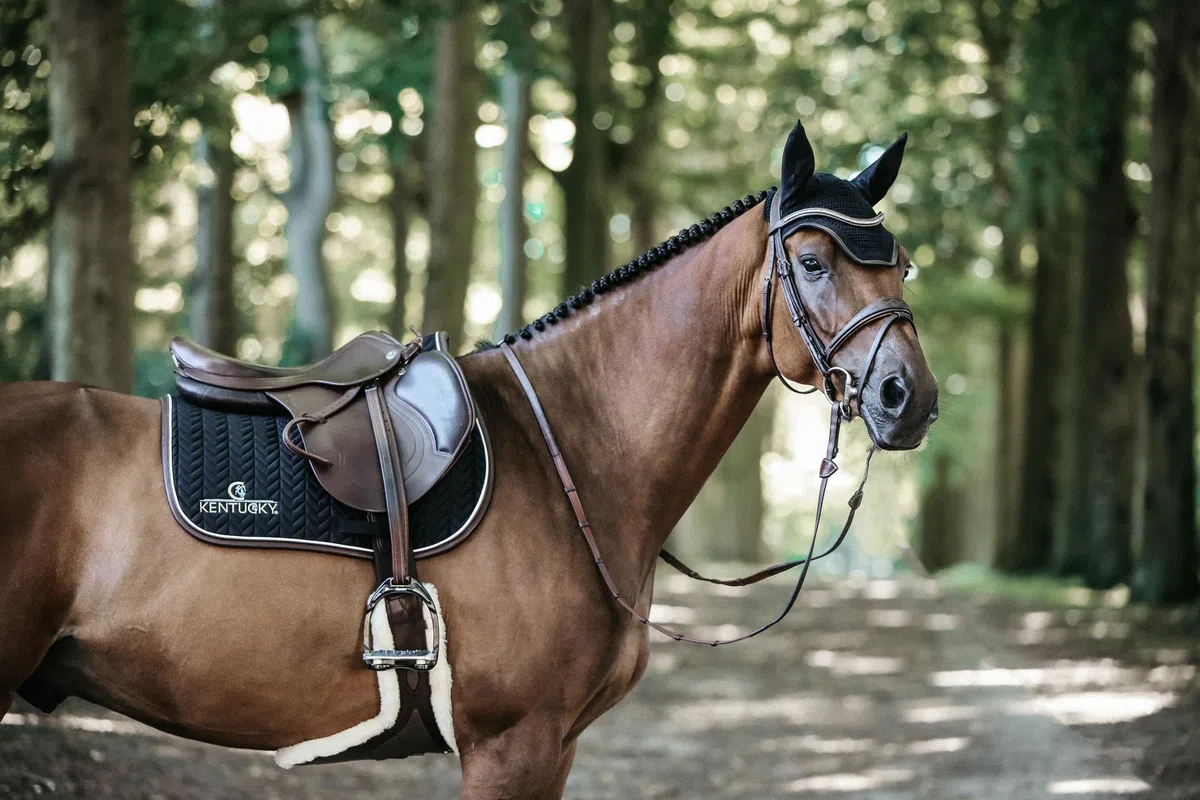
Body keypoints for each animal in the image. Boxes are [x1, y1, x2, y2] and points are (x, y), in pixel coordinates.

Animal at [0, 121, 937, 797]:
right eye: (812, 262)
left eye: (902, 266)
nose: (910, 398)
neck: (570, 447)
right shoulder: (512, 744)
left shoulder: (552, 748)